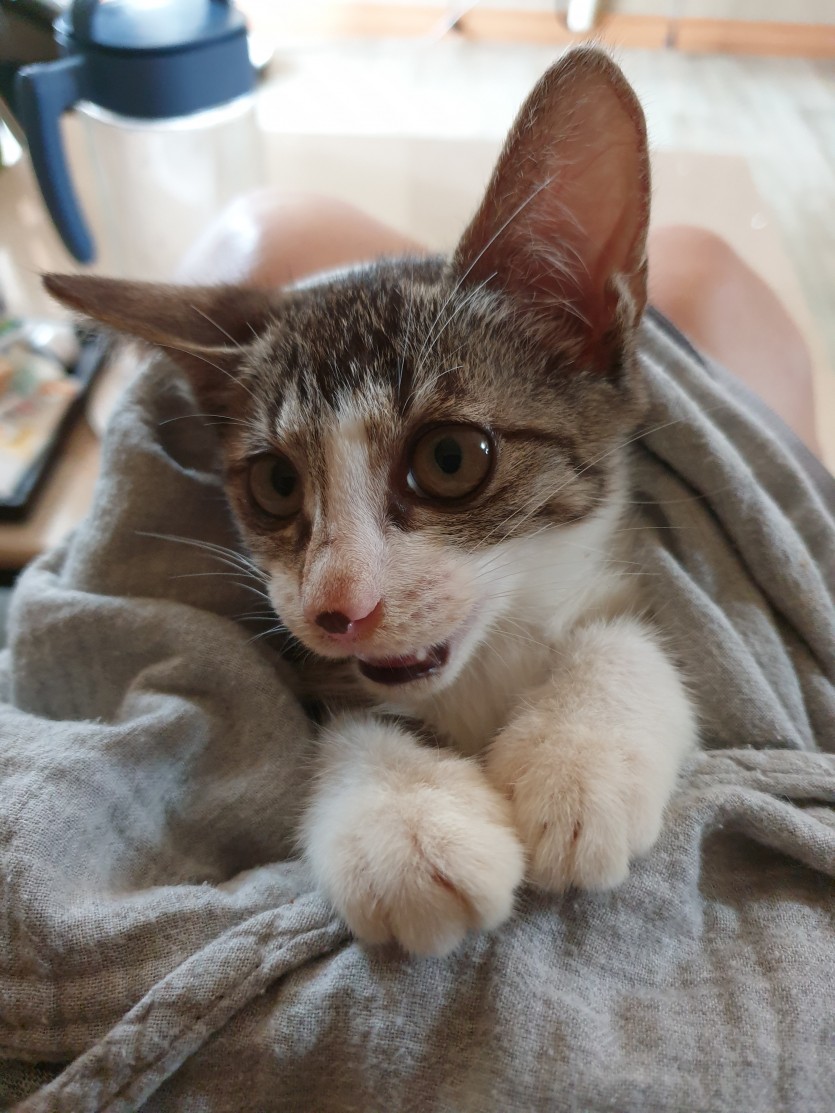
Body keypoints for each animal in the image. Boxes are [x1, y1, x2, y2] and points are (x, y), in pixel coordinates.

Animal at [44, 47, 697, 957]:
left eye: (449, 458)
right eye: (276, 483)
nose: (337, 608)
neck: (478, 667)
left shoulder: (629, 559)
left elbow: (635, 632)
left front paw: (578, 759)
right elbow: (334, 718)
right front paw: (403, 820)